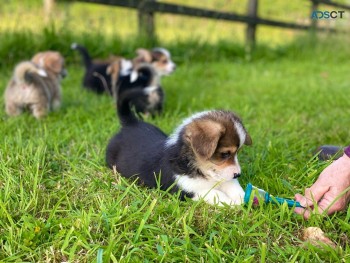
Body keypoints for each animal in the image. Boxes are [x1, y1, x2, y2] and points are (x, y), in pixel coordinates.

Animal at [106, 87, 252, 207]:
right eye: (225, 154)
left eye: (237, 152)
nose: (238, 174)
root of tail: (131, 123)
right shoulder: (188, 190)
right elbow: (215, 194)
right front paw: (232, 203)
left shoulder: (224, 179)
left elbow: (234, 187)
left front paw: (243, 197)